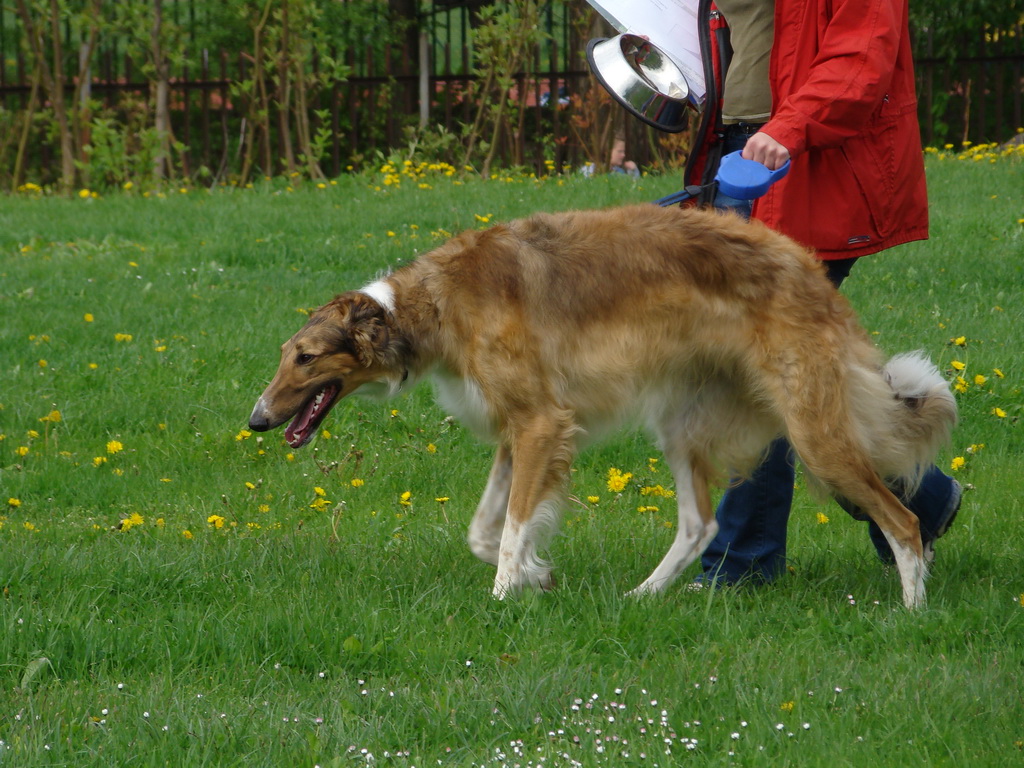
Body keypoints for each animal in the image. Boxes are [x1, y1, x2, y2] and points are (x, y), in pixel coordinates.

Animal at [249, 202, 958, 606]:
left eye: (306, 358)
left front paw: (505, 596)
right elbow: (485, 531)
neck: (433, 304)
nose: (256, 419)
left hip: (814, 431)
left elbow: (509, 530)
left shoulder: (540, 425)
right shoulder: (516, 433)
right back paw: (642, 594)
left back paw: (913, 610)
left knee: (904, 521)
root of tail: (808, 270)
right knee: (699, 526)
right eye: (286, 353)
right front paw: (536, 576)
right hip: (683, 425)